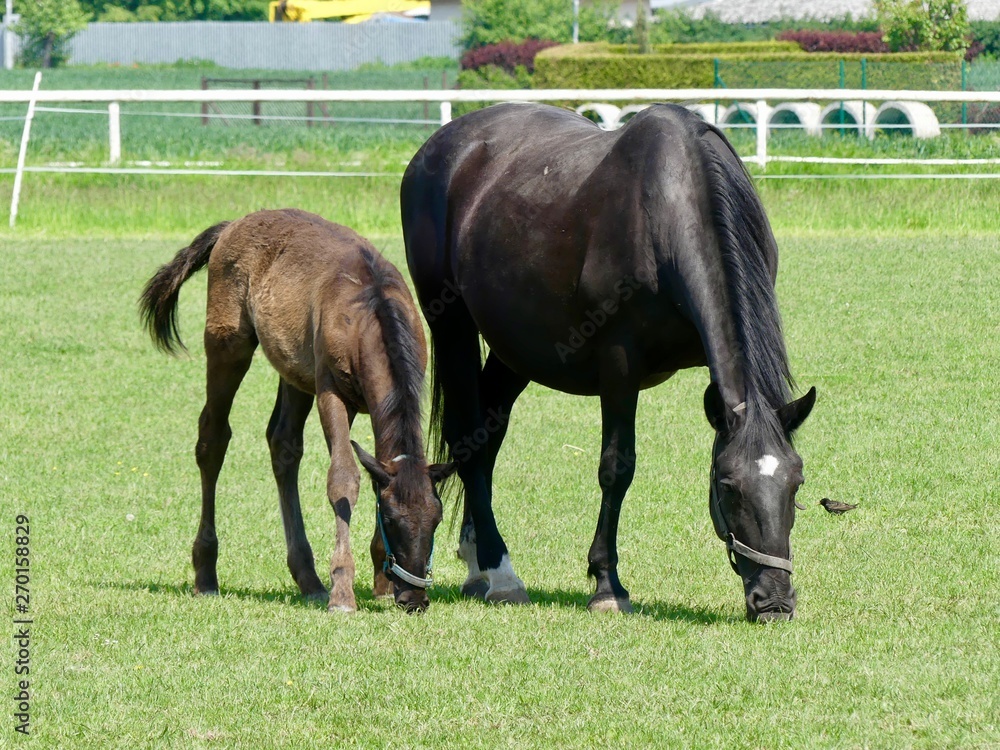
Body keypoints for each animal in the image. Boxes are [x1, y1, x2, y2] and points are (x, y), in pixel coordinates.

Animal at [139, 209, 454, 613]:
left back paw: (308, 578)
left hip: (294, 372)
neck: (369, 312)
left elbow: (374, 469)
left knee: (283, 444)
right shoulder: (331, 392)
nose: (415, 598)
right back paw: (206, 574)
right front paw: (342, 591)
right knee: (212, 438)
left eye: (436, 519)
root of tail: (231, 225)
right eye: (391, 519)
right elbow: (343, 478)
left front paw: (380, 583)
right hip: (229, 345)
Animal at [401, 103, 816, 622]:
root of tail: (436, 149)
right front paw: (606, 584)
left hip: (515, 349)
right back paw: (499, 572)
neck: (668, 210)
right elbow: (617, 467)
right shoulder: (620, 365)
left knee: (487, 435)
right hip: (452, 327)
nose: (774, 601)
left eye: (796, 484)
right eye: (728, 486)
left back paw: (478, 559)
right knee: (468, 441)